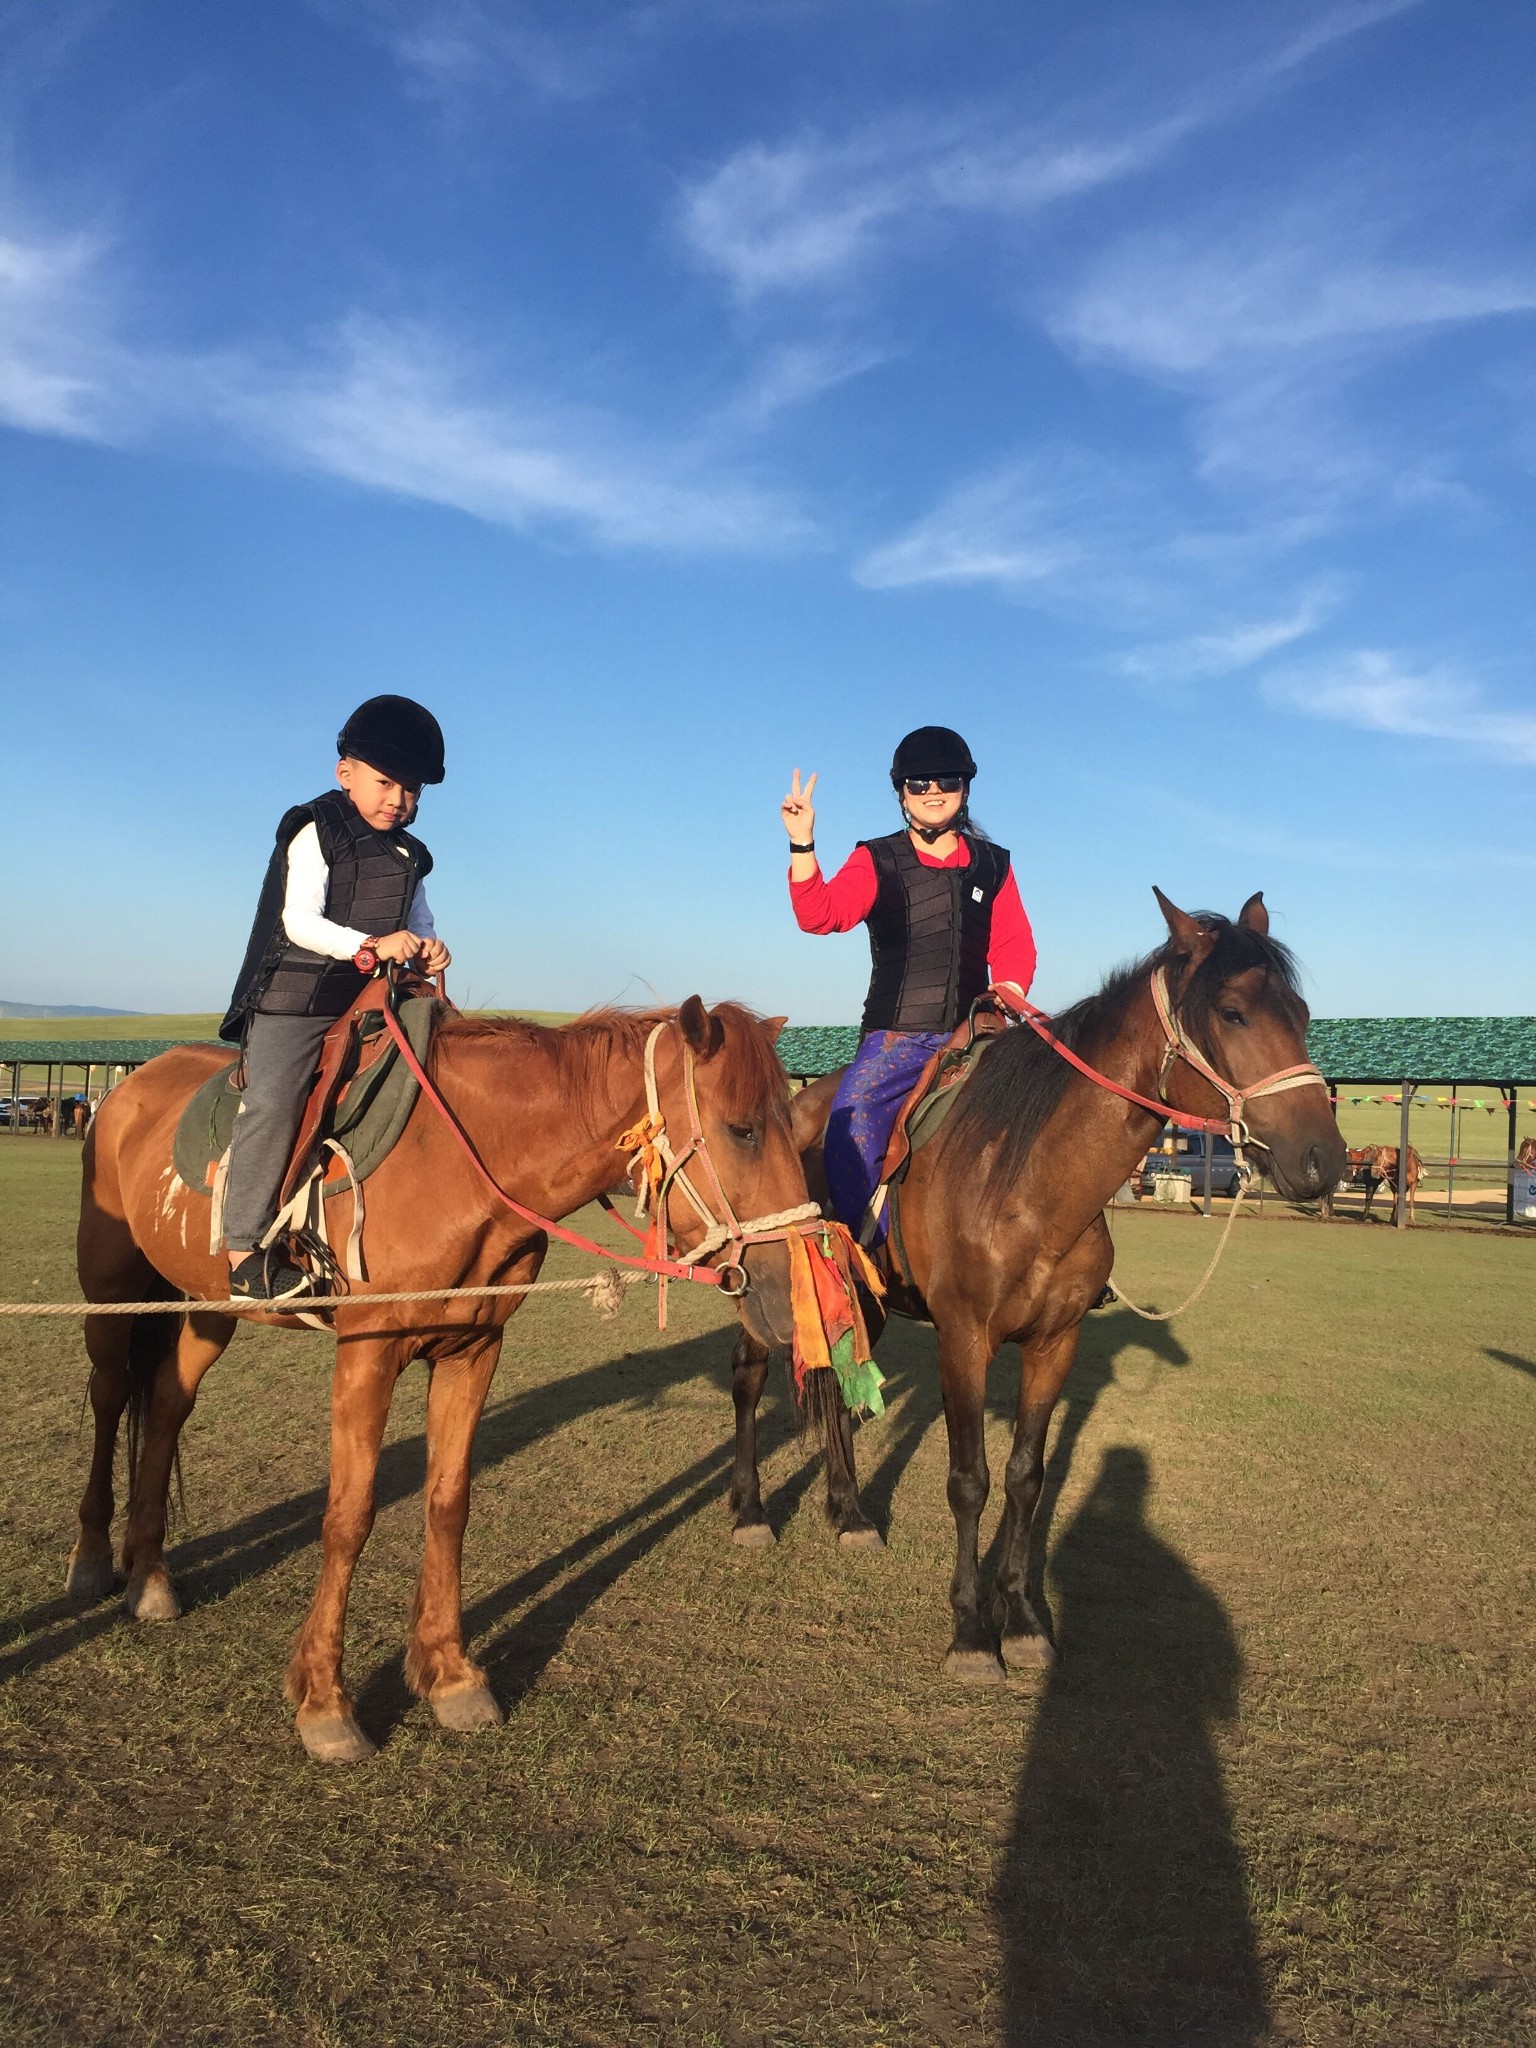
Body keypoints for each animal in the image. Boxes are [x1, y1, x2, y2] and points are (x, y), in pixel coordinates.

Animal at [69, 999, 819, 1753]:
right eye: (743, 1130)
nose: (794, 1297)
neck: (461, 1166)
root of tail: (130, 1089)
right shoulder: (367, 1353)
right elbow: (349, 1515)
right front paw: (325, 1702)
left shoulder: (474, 1350)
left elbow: (449, 1503)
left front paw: (451, 1676)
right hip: (110, 1289)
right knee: (111, 1396)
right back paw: (93, 1559)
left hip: (204, 1307)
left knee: (167, 1404)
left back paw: (150, 1576)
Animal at [729, 888, 1343, 1671]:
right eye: (1233, 1012)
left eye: (1300, 1014)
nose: (1323, 1158)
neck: (1030, 1181)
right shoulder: (963, 1341)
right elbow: (970, 1482)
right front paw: (970, 1631)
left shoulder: (1056, 1343)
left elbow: (1025, 1478)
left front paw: (1019, 1618)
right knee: (749, 1379)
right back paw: (750, 1512)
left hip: (859, 1301)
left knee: (836, 1389)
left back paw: (850, 1513)